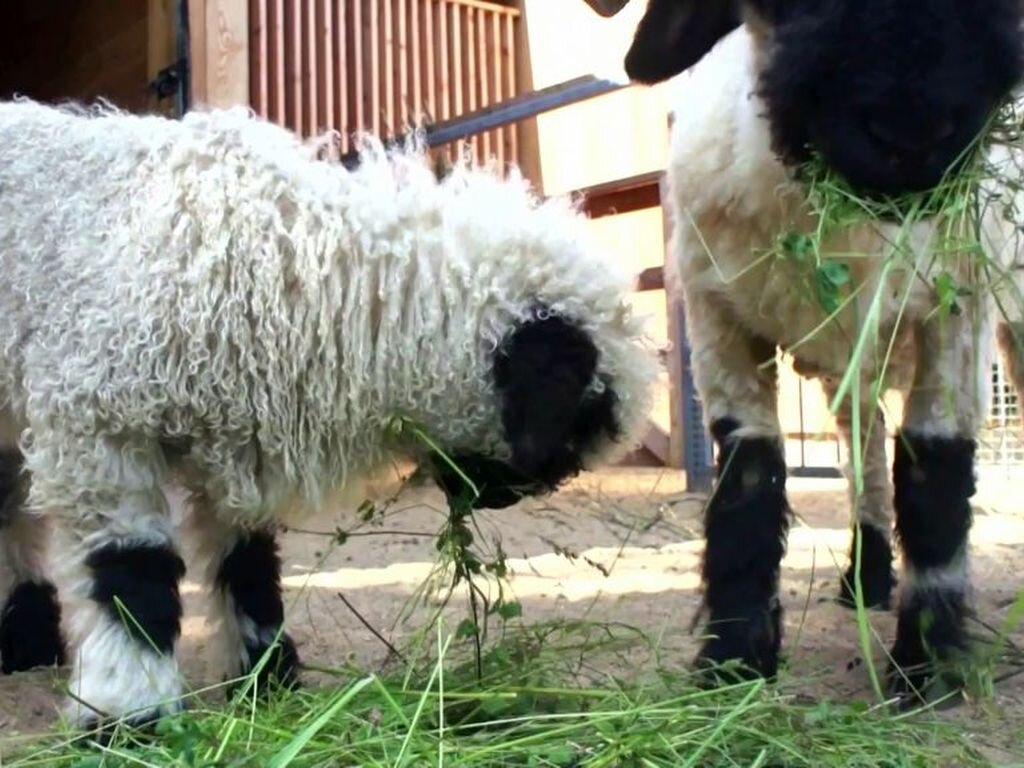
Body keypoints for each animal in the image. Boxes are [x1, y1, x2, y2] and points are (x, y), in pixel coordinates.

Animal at [0, 97, 655, 729]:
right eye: (580, 418)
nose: (504, 499)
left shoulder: (232, 443)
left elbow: (248, 565)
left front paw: (265, 682)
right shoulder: (99, 426)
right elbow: (131, 574)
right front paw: (128, 710)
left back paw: (26, 639)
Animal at [598, 0, 1024, 704]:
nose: (912, 134)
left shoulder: (954, 309)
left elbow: (934, 479)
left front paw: (925, 670)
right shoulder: (717, 317)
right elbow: (747, 484)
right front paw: (734, 663)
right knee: (866, 463)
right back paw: (866, 580)